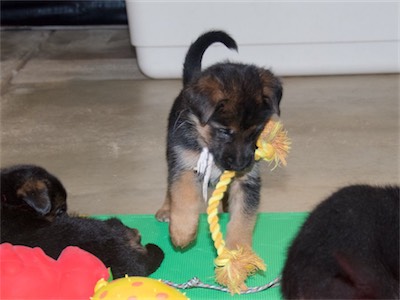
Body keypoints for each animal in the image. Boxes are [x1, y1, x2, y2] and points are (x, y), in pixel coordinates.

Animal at [155, 31, 282, 250]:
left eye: (257, 130)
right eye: (224, 131)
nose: (240, 165)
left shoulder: (247, 181)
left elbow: (243, 218)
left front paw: (238, 251)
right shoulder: (185, 166)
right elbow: (183, 196)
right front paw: (182, 232)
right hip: (172, 156)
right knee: (170, 186)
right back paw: (166, 209)